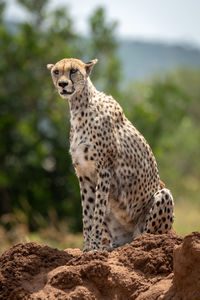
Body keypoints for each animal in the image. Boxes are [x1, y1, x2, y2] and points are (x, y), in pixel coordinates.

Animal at [47, 57, 174, 252]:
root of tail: (127, 239)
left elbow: (97, 212)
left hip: (162, 199)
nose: (62, 84)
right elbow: (87, 214)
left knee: (146, 235)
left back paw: (138, 242)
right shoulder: (84, 176)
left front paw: (94, 247)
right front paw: (87, 248)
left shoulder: (104, 171)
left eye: (73, 71)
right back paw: (110, 247)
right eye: (56, 72)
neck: (79, 106)